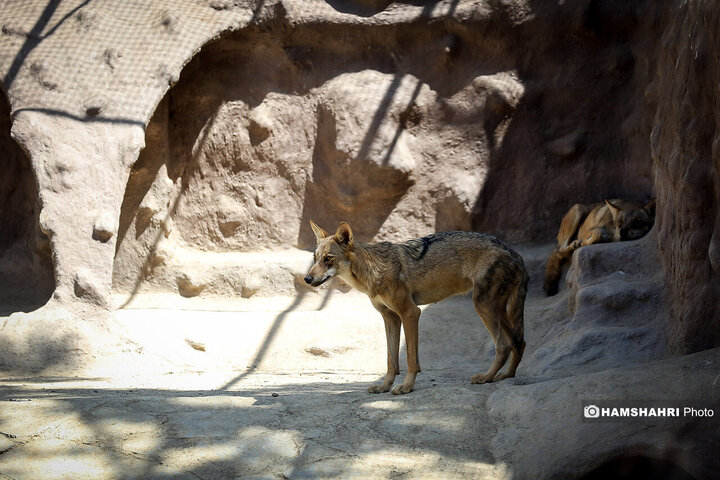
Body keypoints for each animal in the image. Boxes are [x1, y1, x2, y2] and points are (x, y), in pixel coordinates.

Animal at [304, 221, 528, 394]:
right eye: (315, 258)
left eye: (328, 259)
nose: (307, 279)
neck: (373, 270)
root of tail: (515, 253)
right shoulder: (390, 318)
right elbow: (391, 360)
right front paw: (384, 387)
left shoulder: (410, 313)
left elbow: (411, 359)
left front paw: (406, 387)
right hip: (498, 311)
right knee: (519, 342)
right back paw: (506, 376)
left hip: (483, 307)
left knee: (504, 346)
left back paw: (486, 377)